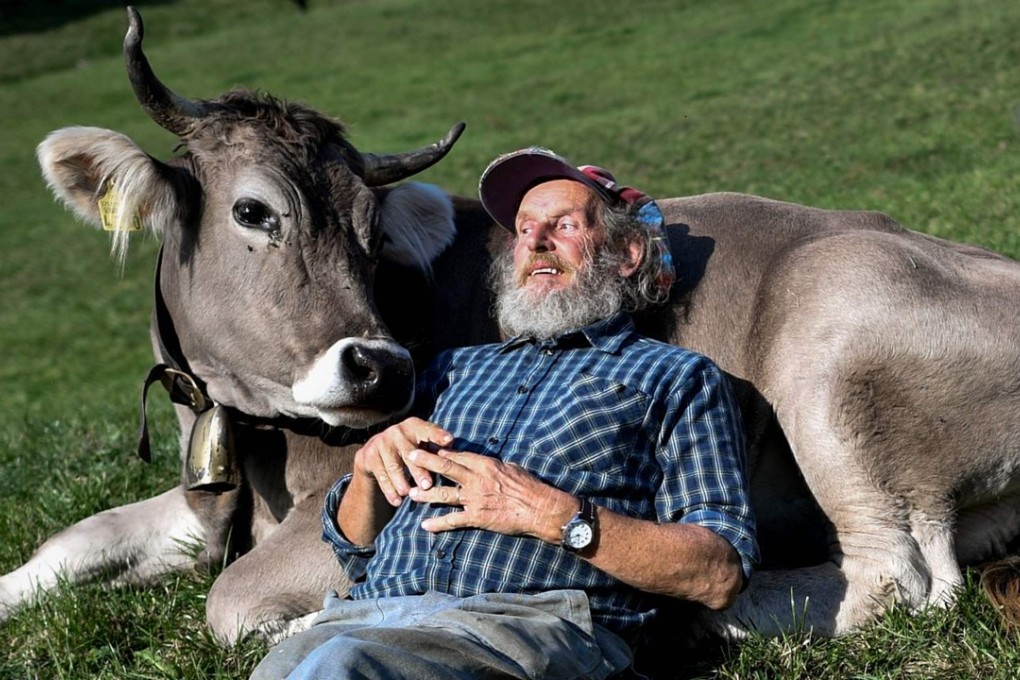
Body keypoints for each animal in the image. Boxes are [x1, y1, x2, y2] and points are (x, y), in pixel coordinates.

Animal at [6, 5, 1020, 649]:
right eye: (253, 211)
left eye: (373, 234)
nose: (380, 368)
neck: (248, 444)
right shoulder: (198, 502)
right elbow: (73, 542)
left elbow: (229, 601)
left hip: (832, 323)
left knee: (899, 579)